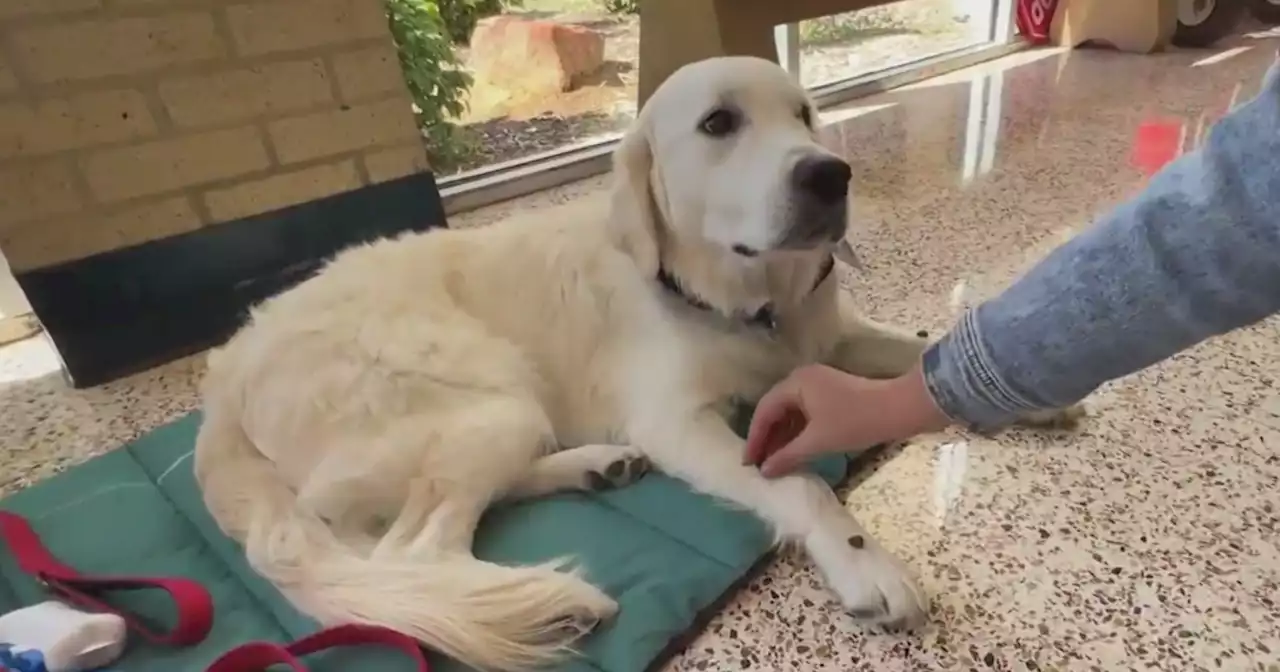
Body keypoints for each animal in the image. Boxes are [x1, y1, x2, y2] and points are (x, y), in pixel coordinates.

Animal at [194, 55, 1075, 665]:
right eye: (719, 124)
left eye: (803, 114)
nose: (831, 173)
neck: (743, 298)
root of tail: (225, 381)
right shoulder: (679, 420)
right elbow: (802, 489)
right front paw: (866, 566)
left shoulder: (829, 340)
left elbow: (919, 349)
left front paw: (1020, 388)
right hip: (486, 397)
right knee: (411, 555)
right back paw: (552, 598)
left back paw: (593, 467)